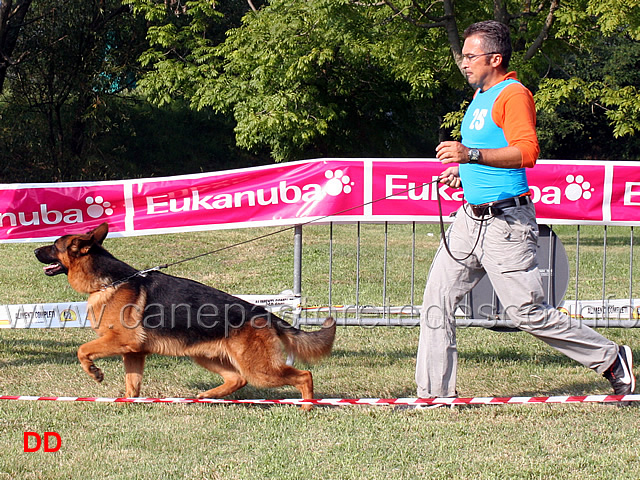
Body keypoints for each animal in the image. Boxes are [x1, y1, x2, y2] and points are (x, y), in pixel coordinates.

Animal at [34, 223, 336, 406]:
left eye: (55, 245)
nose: (34, 249)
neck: (110, 281)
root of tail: (263, 313)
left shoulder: (120, 342)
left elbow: (82, 350)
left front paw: (95, 373)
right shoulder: (134, 352)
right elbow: (132, 384)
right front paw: (129, 403)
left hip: (261, 370)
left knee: (304, 375)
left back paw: (307, 406)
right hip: (204, 355)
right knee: (238, 379)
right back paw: (209, 395)